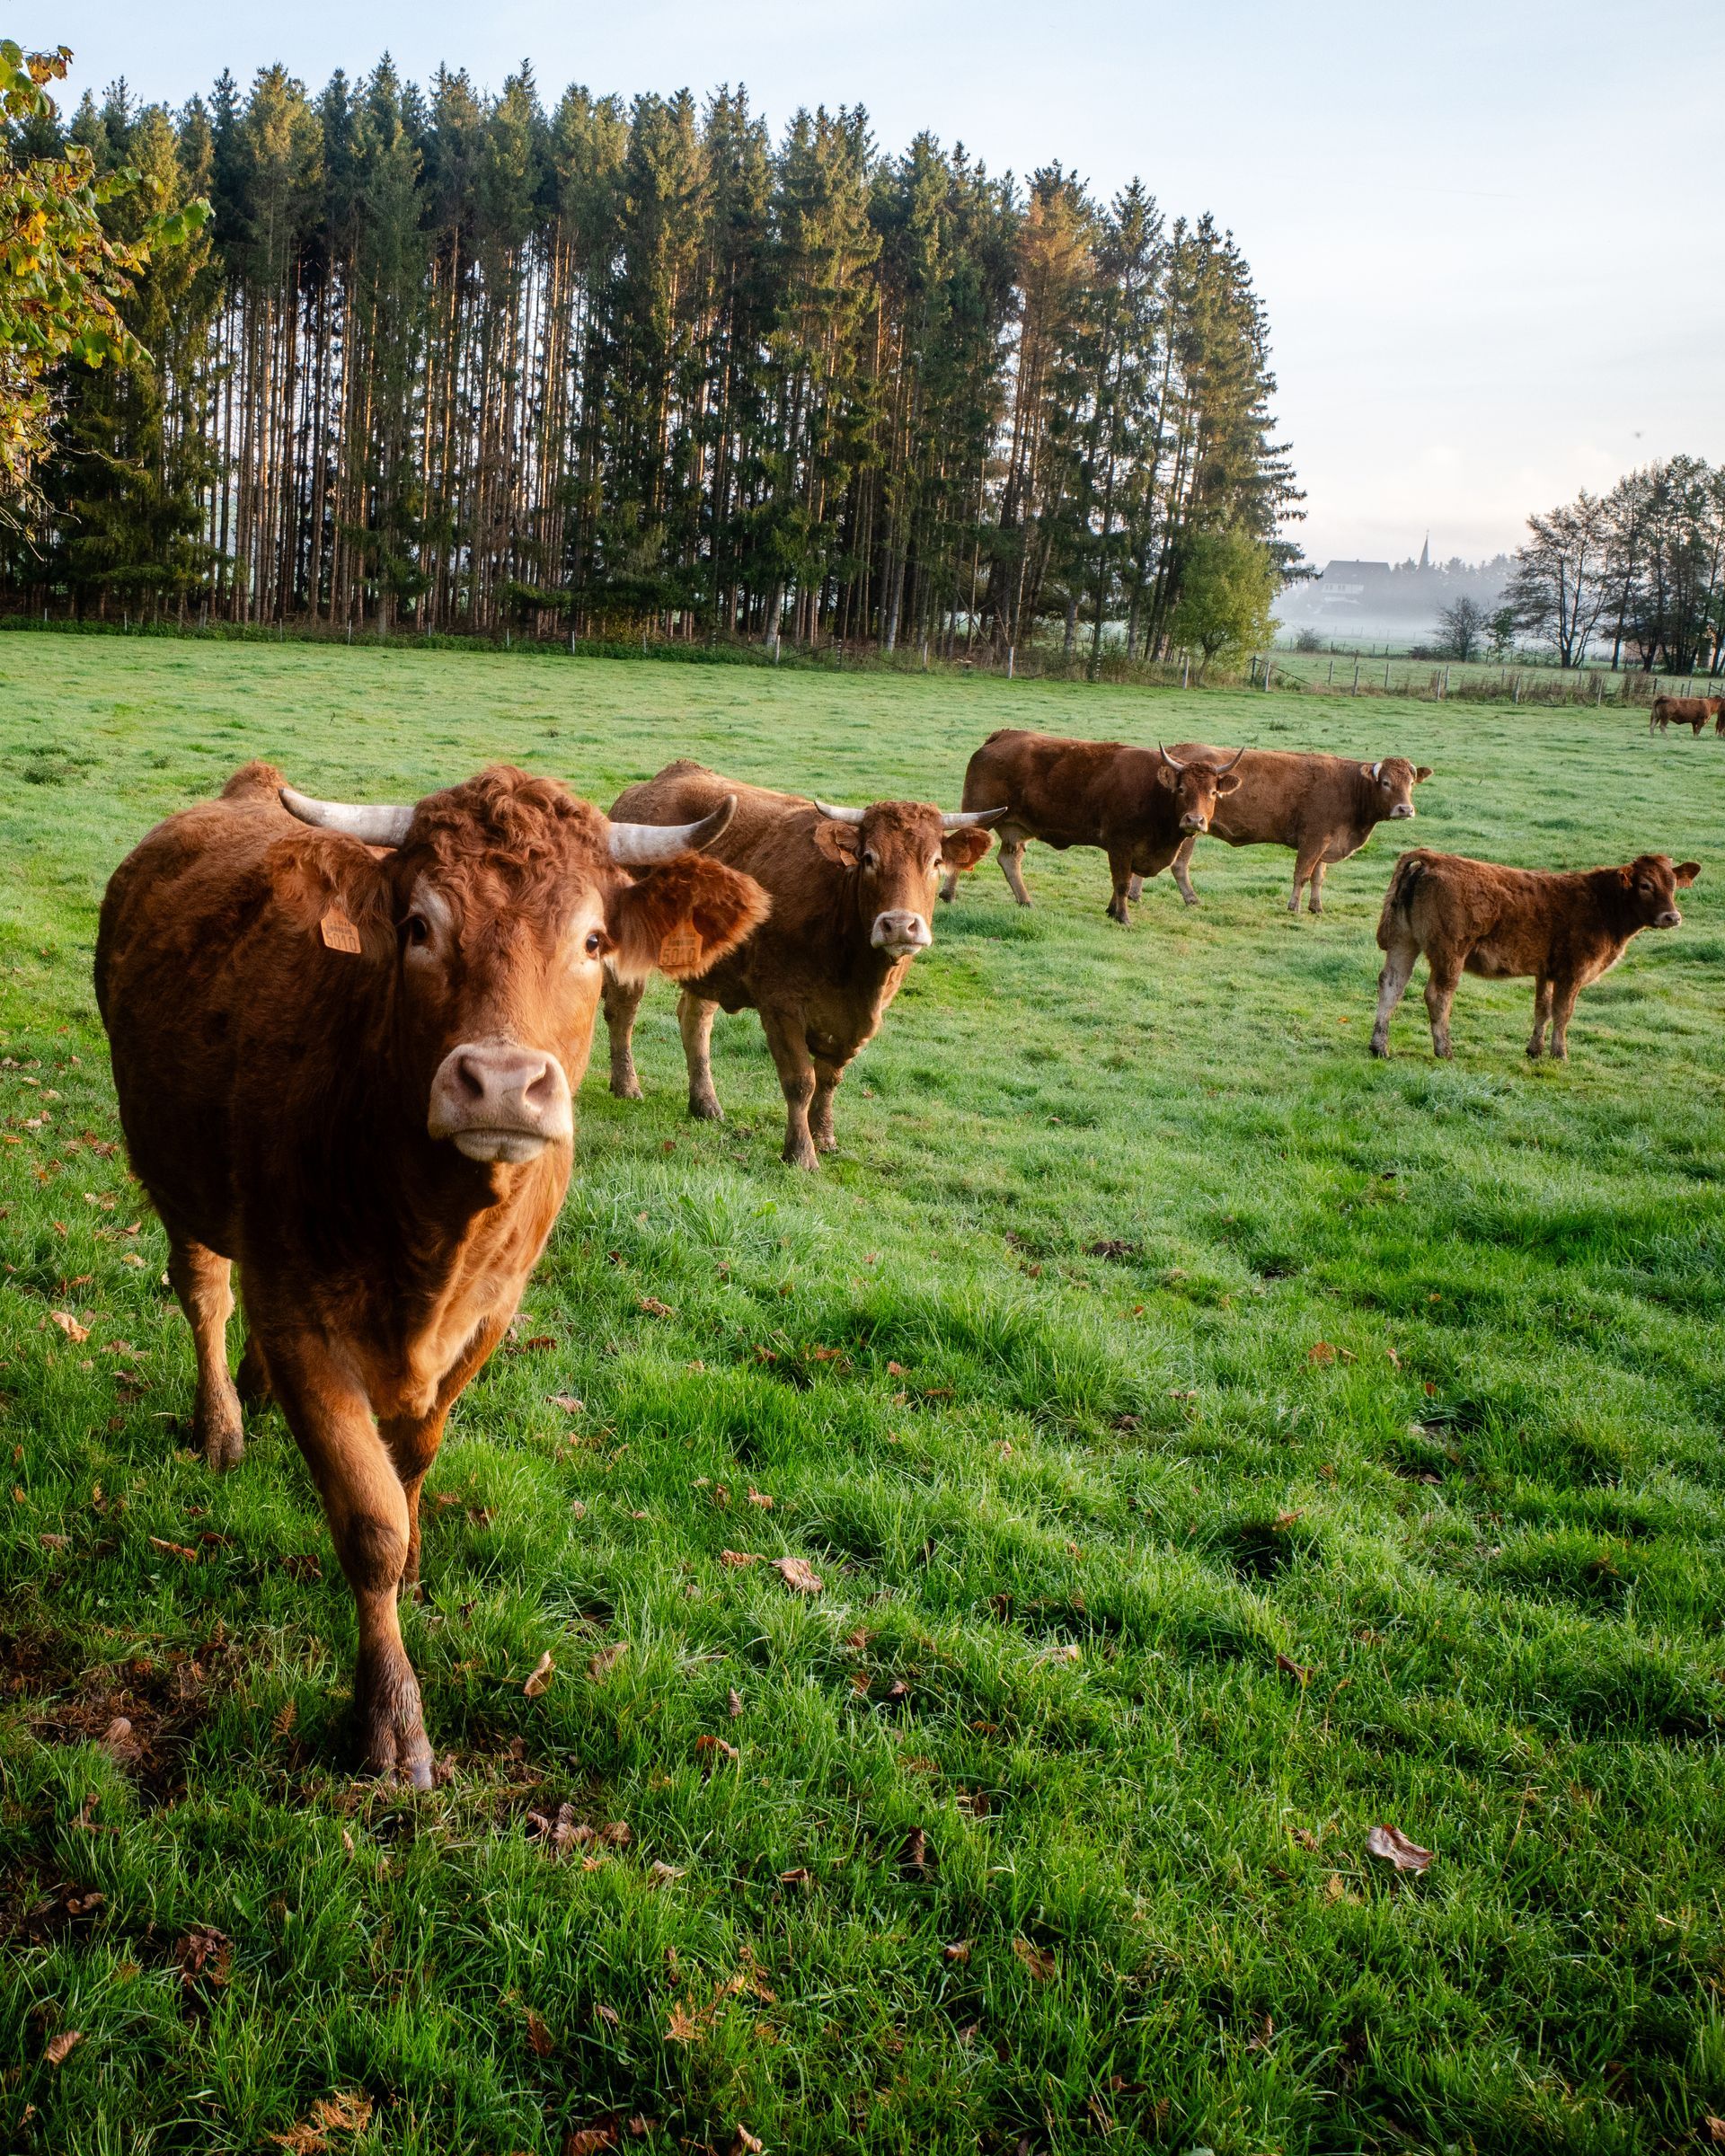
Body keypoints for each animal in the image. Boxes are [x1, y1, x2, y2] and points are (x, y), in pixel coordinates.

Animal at [599, 758, 995, 1164]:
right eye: (869, 858)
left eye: (935, 861)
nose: (899, 924)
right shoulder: (781, 1006)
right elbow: (800, 1081)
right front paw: (801, 1152)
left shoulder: (853, 1022)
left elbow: (829, 1079)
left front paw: (824, 1137)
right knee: (622, 1011)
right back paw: (627, 1085)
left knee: (695, 1022)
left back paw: (705, 1104)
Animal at [944, 729, 1242, 923]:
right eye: (1181, 789)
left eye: (1213, 793)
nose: (1195, 820)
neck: (1154, 792)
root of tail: (1003, 735)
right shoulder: (1120, 845)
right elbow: (1122, 882)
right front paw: (1123, 917)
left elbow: (1121, 883)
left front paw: (1112, 911)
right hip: (979, 815)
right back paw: (948, 895)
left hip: (1016, 828)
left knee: (1009, 860)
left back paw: (1025, 901)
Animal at [1155, 746, 1440, 914]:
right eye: (1385, 782)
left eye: (1411, 783)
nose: (1405, 809)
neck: (1349, 786)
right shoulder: (1313, 840)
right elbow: (1301, 875)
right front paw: (1294, 906)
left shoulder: (1327, 842)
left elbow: (1318, 877)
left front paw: (1317, 907)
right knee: (1179, 865)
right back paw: (1191, 899)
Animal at [1371, 844, 1699, 1056]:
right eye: (1645, 885)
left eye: (1673, 884)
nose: (1672, 917)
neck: (1601, 903)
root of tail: (1432, 858)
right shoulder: (1573, 971)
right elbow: (1563, 1011)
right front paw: (1559, 1053)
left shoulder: (1546, 971)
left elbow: (1543, 1008)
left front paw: (1535, 1050)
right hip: (1450, 952)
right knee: (1438, 995)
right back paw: (1445, 1050)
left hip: (1403, 942)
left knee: (1392, 985)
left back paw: (1379, 1047)